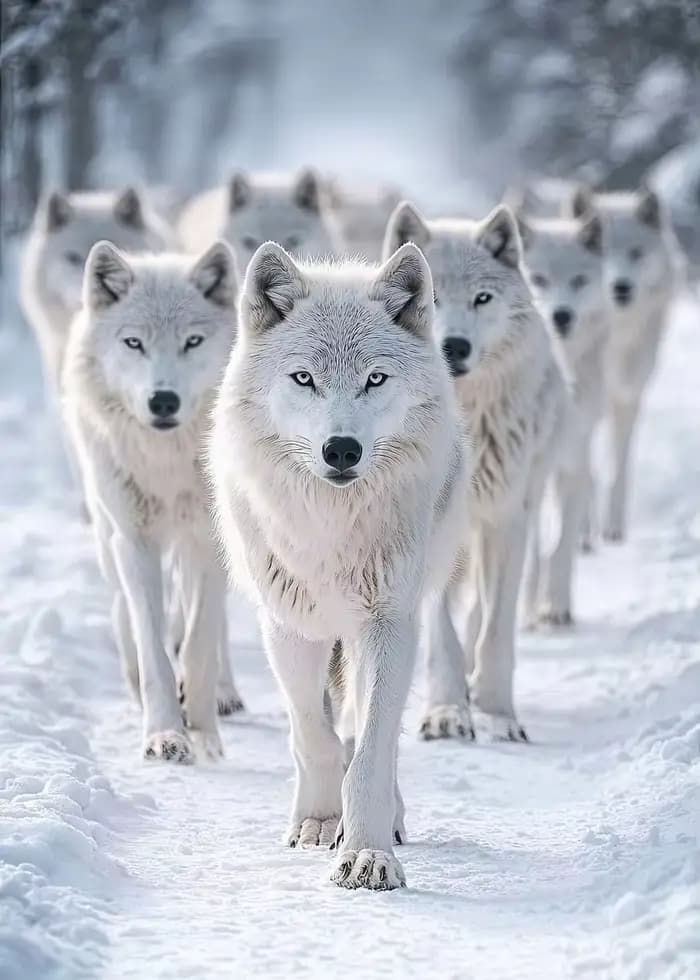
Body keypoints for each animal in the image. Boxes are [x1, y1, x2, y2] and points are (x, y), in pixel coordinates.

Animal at [63, 239, 239, 762]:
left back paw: (224, 695)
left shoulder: (208, 538)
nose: (163, 401)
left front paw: (202, 732)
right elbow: (152, 642)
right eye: (134, 343)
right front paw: (164, 734)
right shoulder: (134, 539)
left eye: (193, 342)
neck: (167, 462)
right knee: (125, 610)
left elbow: (199, 641)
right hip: (109, 534)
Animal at [208, 241, 469, 890]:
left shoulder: (387, 625)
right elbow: (313, 734)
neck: (331, 529)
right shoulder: (290, 625)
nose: (342, 449)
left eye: (375, 378)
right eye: (304, 377)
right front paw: (322, 823)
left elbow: (370, 752)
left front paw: (369, 853)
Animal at [384, 201, 568, 740]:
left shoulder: (508, 518)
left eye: (481, 298)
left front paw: (497, 713)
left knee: (483, 608)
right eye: (430, 298)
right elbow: (441, 628)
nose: (455, 347)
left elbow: (496, 625)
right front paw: (447, 710)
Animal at [571, 186, 677, 541]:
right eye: (601, 254)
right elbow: (585, 471)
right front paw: (583, 532)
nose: (621, 287)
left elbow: (619, 465)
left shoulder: (629, 397)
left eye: (635, 253)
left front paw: (612, 529)